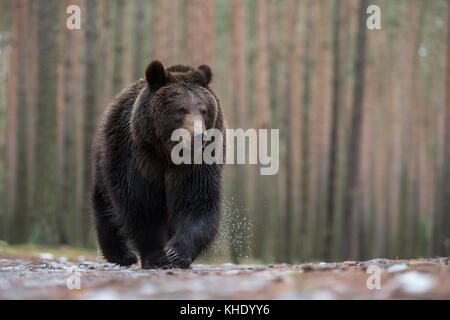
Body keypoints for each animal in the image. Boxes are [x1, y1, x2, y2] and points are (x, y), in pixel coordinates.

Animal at [92, 59, 225, 268]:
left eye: (204, 110)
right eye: (181, 109)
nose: (199, 135)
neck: (168, 153)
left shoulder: (196, 165)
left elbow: (197, 201)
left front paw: (176, 253)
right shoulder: (139, 157)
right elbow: (142, 205)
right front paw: (157, 257)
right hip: (106, 161)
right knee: (106, 208)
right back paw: (122, 255)